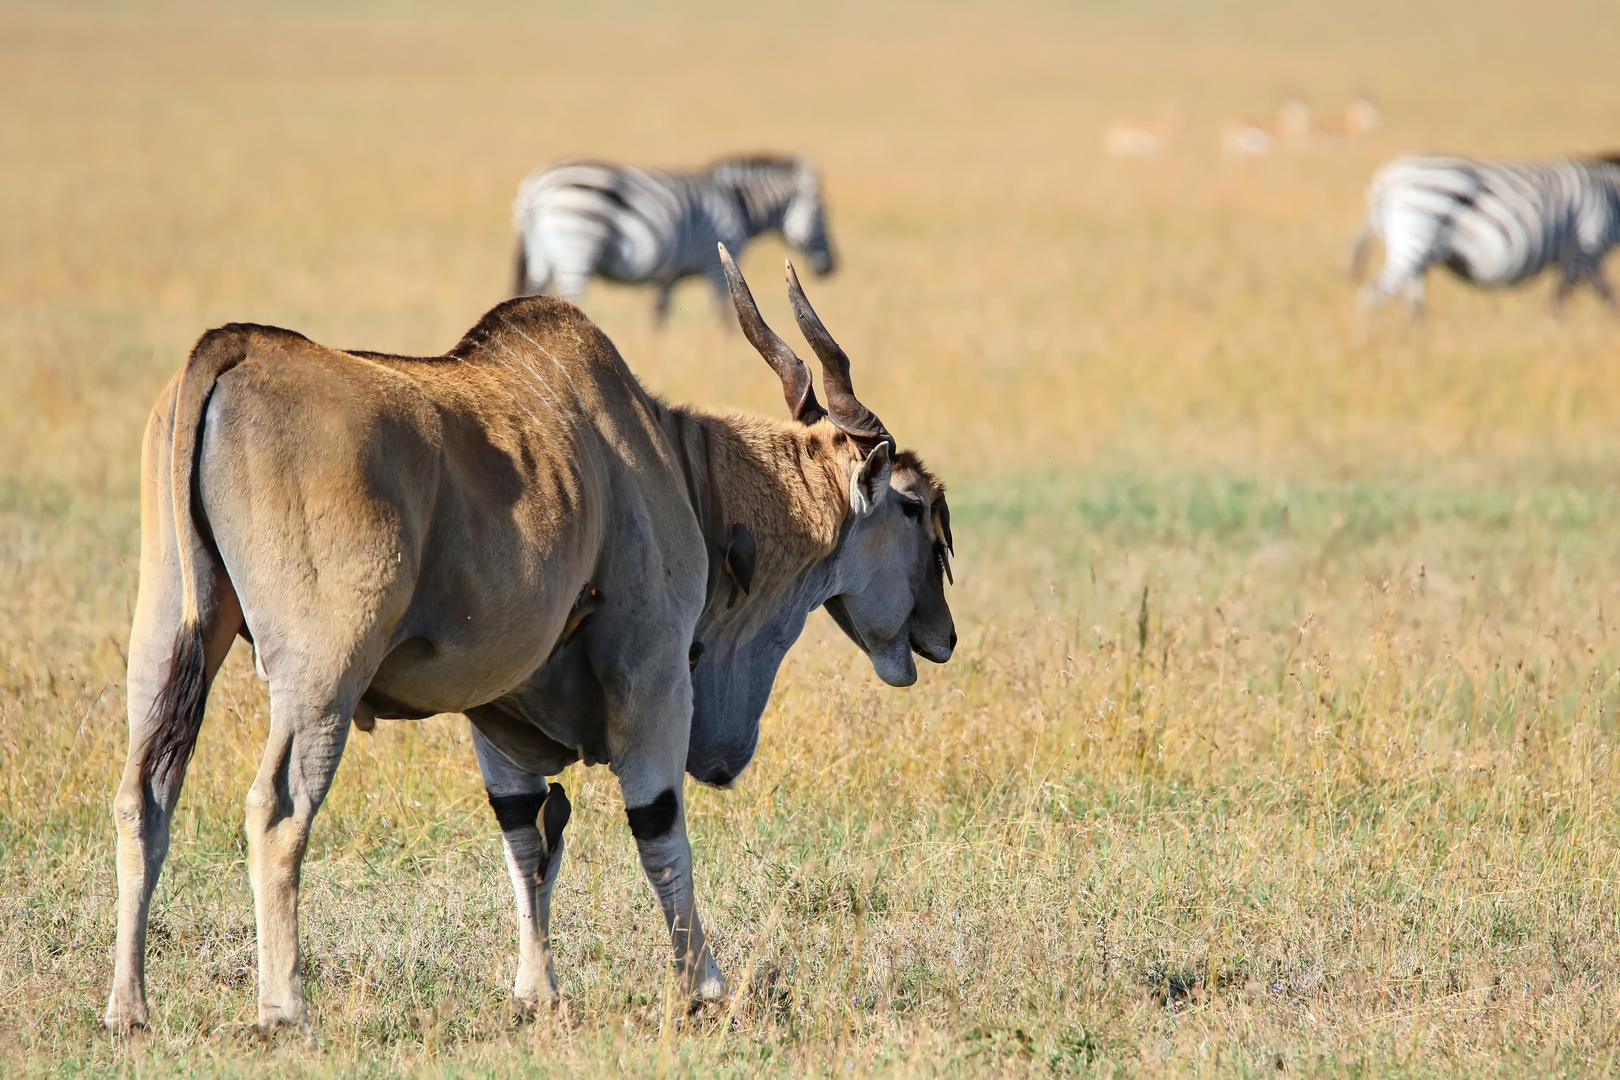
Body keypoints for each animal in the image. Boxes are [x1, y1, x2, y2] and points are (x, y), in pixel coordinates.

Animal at [104, 241, 946, 1036]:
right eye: (913, 506)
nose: (941, 635)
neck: (671, 464)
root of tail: (235, 351)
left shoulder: (499, 721)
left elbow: (527, 840)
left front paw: (536, 994)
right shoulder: (655, 679)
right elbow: (659, 830)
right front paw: (703, 990)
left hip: (166, 644)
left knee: (143, 797)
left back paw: (129, 1008)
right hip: (320, 676)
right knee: (278, 811)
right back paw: (283, 1009)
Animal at [508, 153, 842, 320]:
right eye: (823, 213)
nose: (831, 267)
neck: (737, 204)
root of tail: (535, 188)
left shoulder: (668, 275)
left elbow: (660, 314)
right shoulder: (716, 260)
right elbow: (725, 315)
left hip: (541, 258)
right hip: (577, 245)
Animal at [1347, 153, 1620, 318]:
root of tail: (1385, 181)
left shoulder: (1584, 260)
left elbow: (1605, 298)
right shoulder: (1586, 249)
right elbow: (1562, 301)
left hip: (1416, 251)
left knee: (1415, 305)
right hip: (1416, 237)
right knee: (1373, 294)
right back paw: (1366, 341)